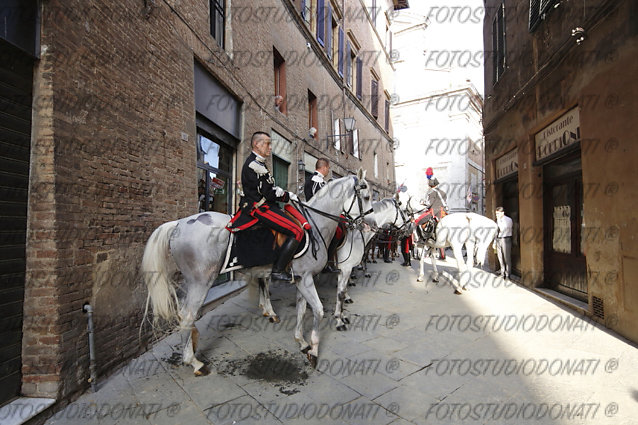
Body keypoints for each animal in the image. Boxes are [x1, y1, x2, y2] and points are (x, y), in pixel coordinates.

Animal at [139, 169, 370, 372]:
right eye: (366, 196)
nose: (366, 224)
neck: (315, 224)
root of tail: (178, 224)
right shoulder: (307, 279)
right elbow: (319, 310)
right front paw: (314, 351)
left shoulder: (302, 278)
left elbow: (301, 309)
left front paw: (301, 341)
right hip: (201, 281)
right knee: (188, 315)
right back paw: (194, 362)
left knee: (185, 315)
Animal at [336, 194, 410, 330]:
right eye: (404, 210)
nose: (410, 228)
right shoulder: (345, 268)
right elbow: (340, 293)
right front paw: (339, 320)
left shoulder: (343, 269)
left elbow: (341, 291)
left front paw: (342, 315)